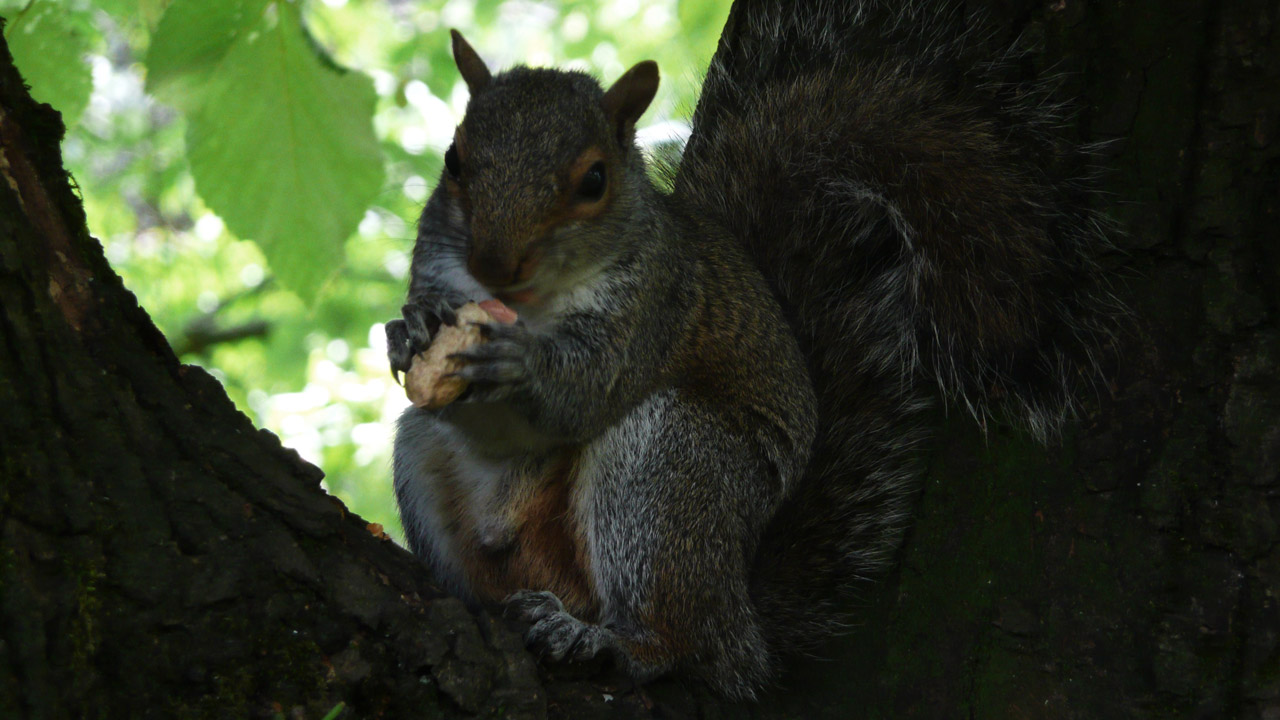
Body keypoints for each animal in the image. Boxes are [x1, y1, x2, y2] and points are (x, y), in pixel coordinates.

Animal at [384, 2, 1116, 696]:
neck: (532, 304)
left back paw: (612, 641)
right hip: (432, 463)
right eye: (454, 161)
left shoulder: (657, 305)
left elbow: (583, 394)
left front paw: (517, 366)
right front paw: (411, 330)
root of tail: (743, 619)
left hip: (671, 471)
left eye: (593, 181)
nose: (492, 265)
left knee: (683, 645)